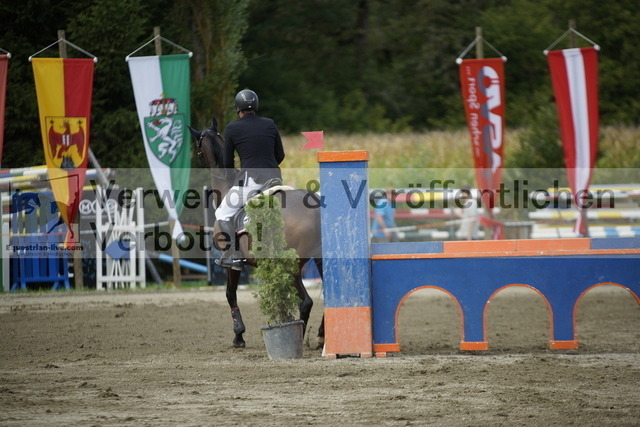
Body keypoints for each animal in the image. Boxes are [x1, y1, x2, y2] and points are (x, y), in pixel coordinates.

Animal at [188, 119, 322, 348]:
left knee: (306, 302)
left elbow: (230, 294)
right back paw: (321, 337)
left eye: (198, 150)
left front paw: (238, 335)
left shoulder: (232, 263)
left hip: (293, 264)